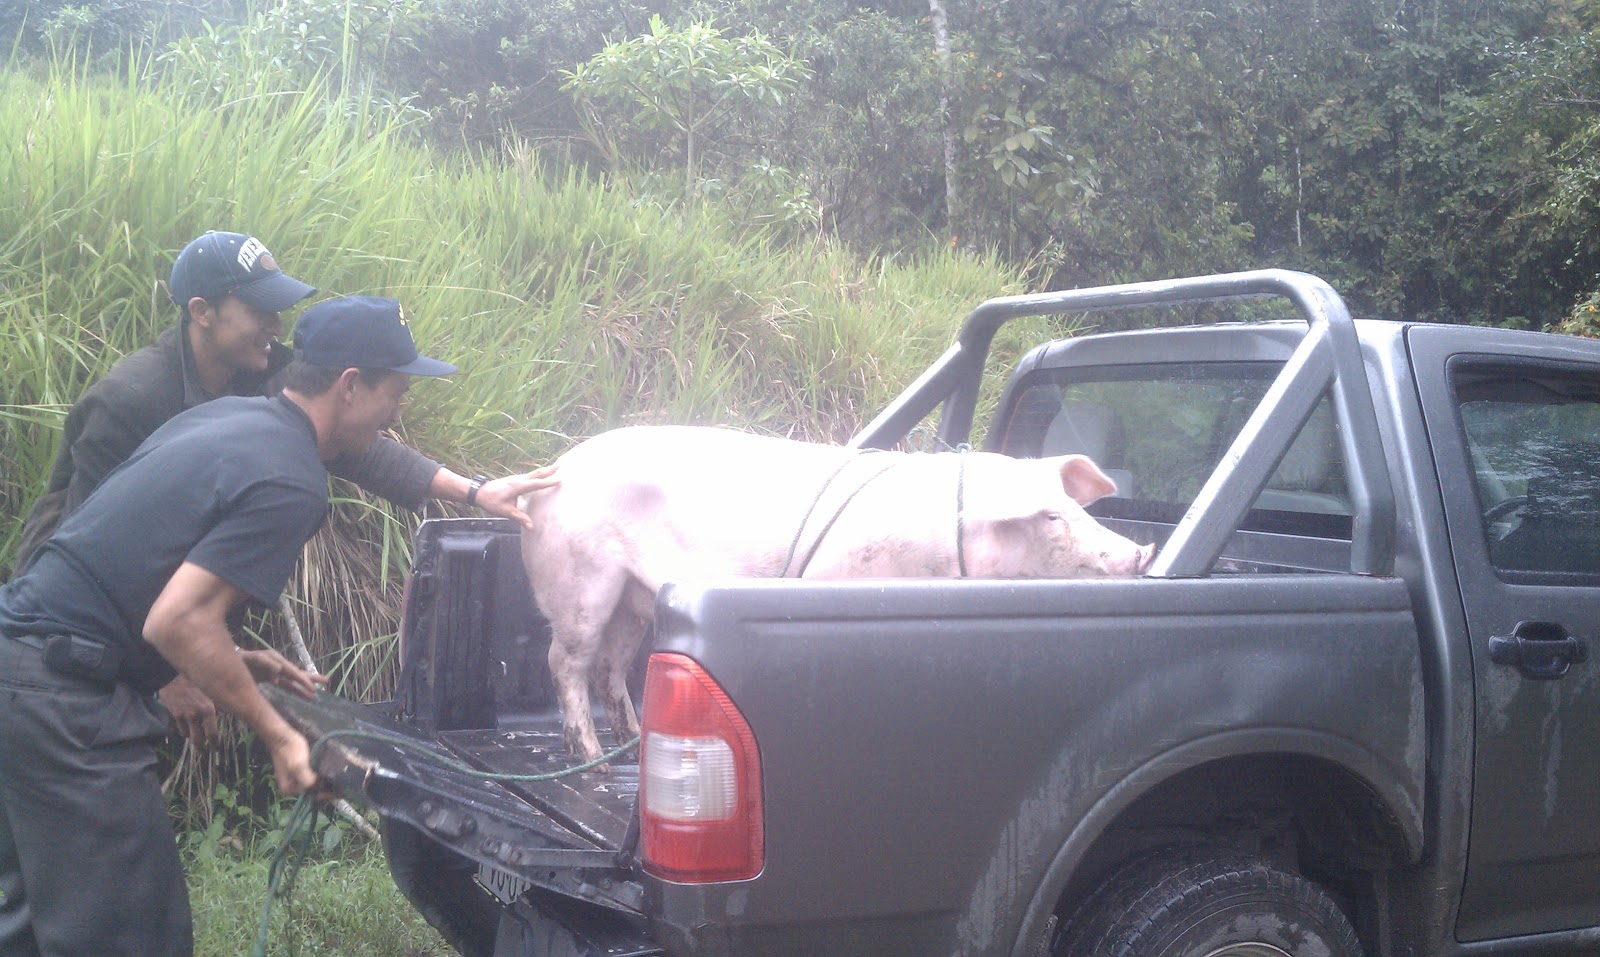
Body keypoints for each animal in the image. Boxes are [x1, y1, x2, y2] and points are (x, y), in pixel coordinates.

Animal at [518, 425, 1155, 764]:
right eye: (1050, 516)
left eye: (1074, 506)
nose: (1140, 554)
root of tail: (546, 476)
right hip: (580, 578)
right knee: (565, 661)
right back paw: (594, 762)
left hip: (631, 591)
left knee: (611, 664)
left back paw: (630, 743)